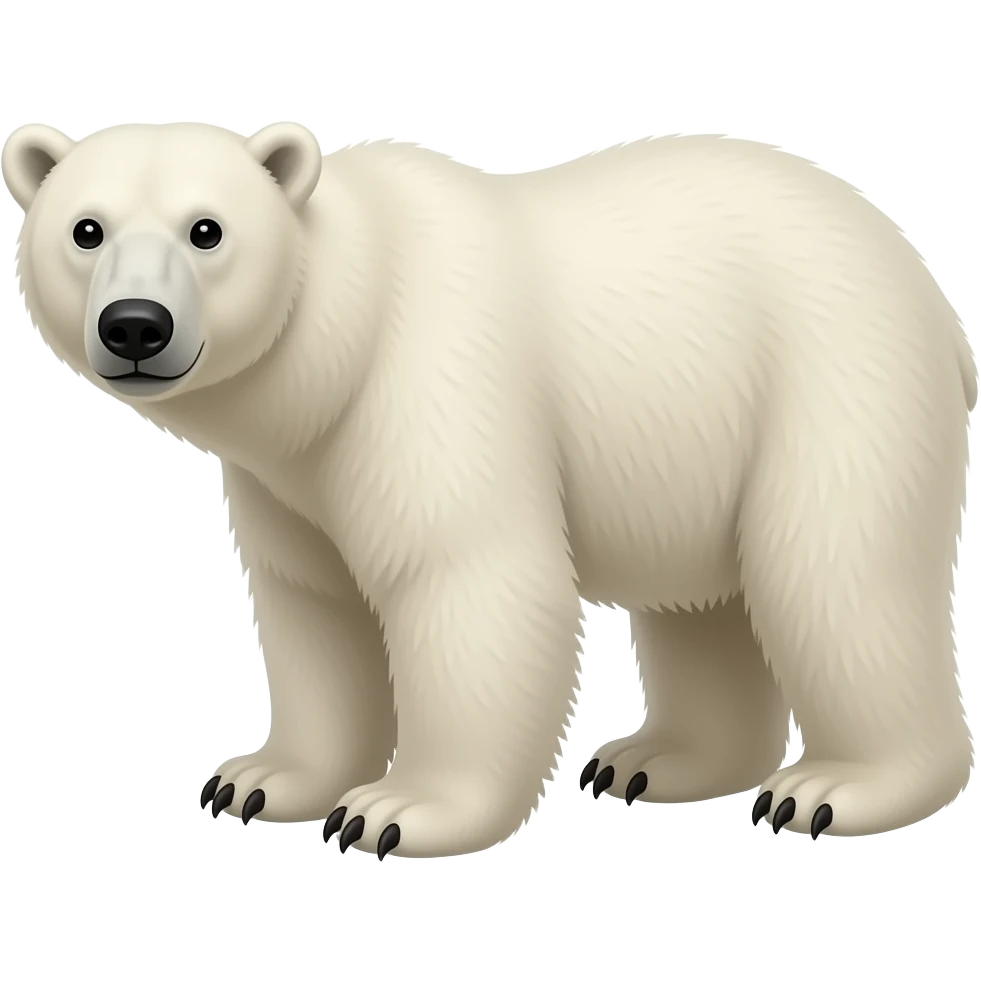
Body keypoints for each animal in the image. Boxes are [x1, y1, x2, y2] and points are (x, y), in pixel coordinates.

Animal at [3, 121, 976, 858]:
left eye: (206, 229)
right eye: (85, 229)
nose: (135, 325)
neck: (340, 340)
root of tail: (929, 287)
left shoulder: (430, 382)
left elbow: (465, 581)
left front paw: (393, 810)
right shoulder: (289, 476)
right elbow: (312, 605)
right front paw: (258, 779)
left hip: (832, 381)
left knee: (830, 575)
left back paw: (829, 789)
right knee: (702, 601)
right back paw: (655, 759)